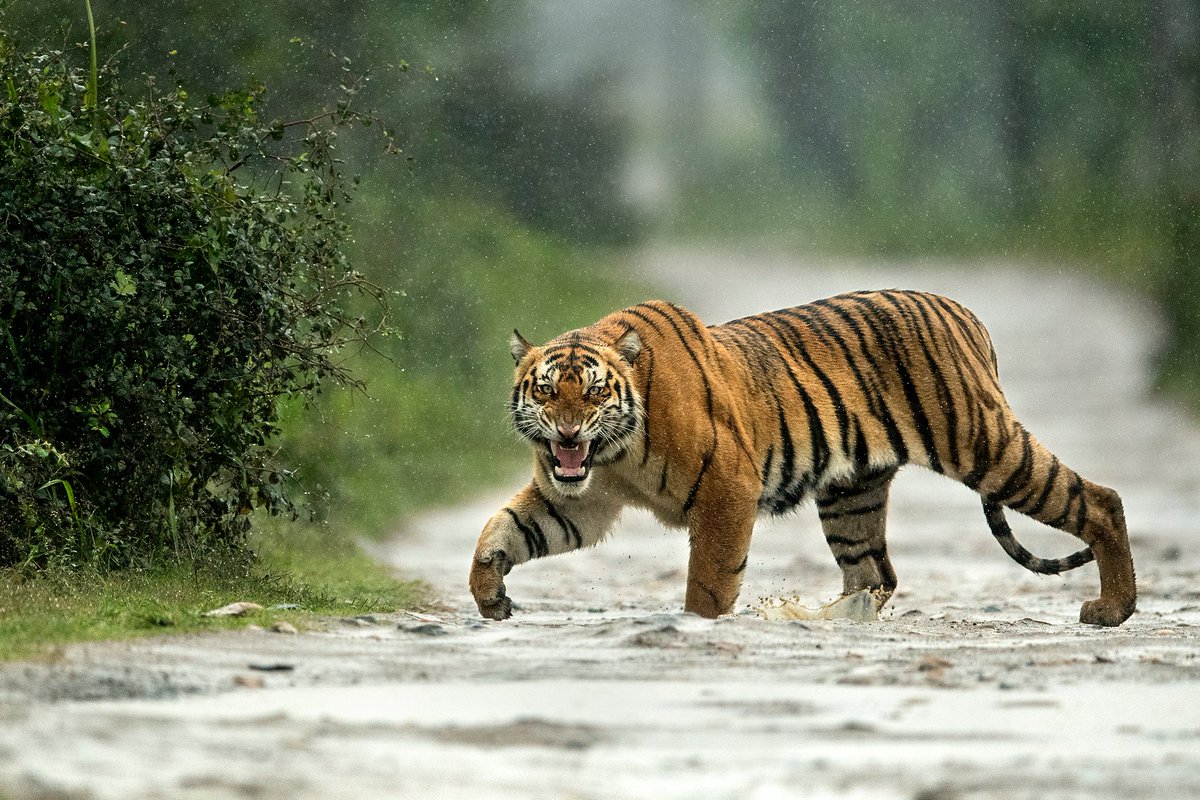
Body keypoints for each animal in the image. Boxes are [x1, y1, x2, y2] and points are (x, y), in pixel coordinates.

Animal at [468, 290, 1137, 626]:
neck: (613, 453)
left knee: (1099, 499)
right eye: (546, 391)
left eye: (593, 392)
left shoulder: (727, 487)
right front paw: (490, 598)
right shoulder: (579, 501)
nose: (567, 430)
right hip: (851, 493)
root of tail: (965, 312)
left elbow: (709, 580)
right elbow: (501, 529)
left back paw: (1113, 610)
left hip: (984, 445)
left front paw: (697, 627)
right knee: (874, 574)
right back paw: (823, 619)